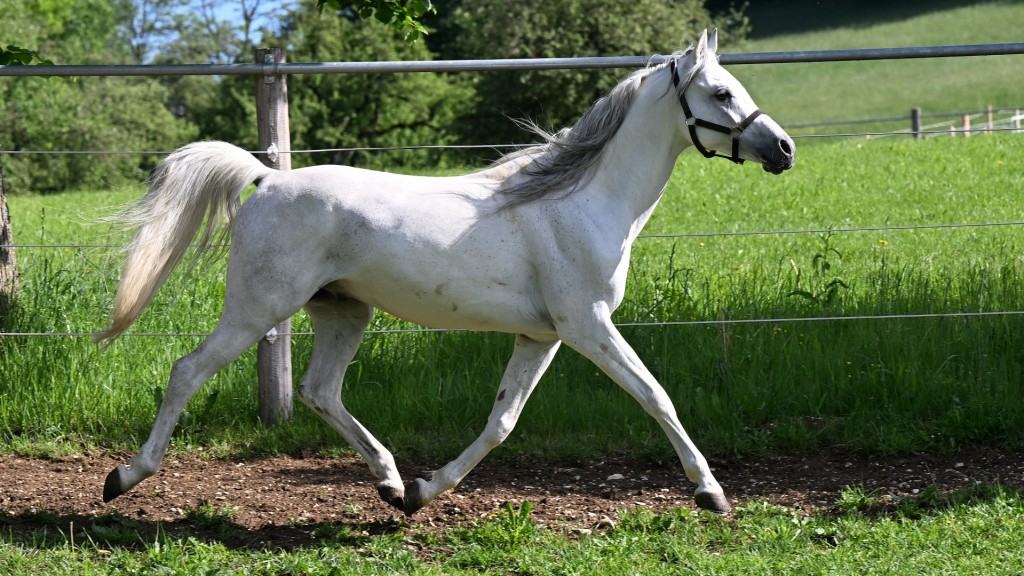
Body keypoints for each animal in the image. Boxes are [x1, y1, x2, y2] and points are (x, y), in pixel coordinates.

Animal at [97, 29, 795, 516]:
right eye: (722, 92)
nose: (783, 149)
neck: (581, 203)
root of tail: (265, 178)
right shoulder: (588, 327)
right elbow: (656, 395)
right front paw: (712, 493)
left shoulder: (541, 336)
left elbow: (501, 422)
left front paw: (424, 491)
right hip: (257, 308)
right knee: (188, 371)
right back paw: (123, 478)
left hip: (343, 310)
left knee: (322, 391)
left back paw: (389, 481)